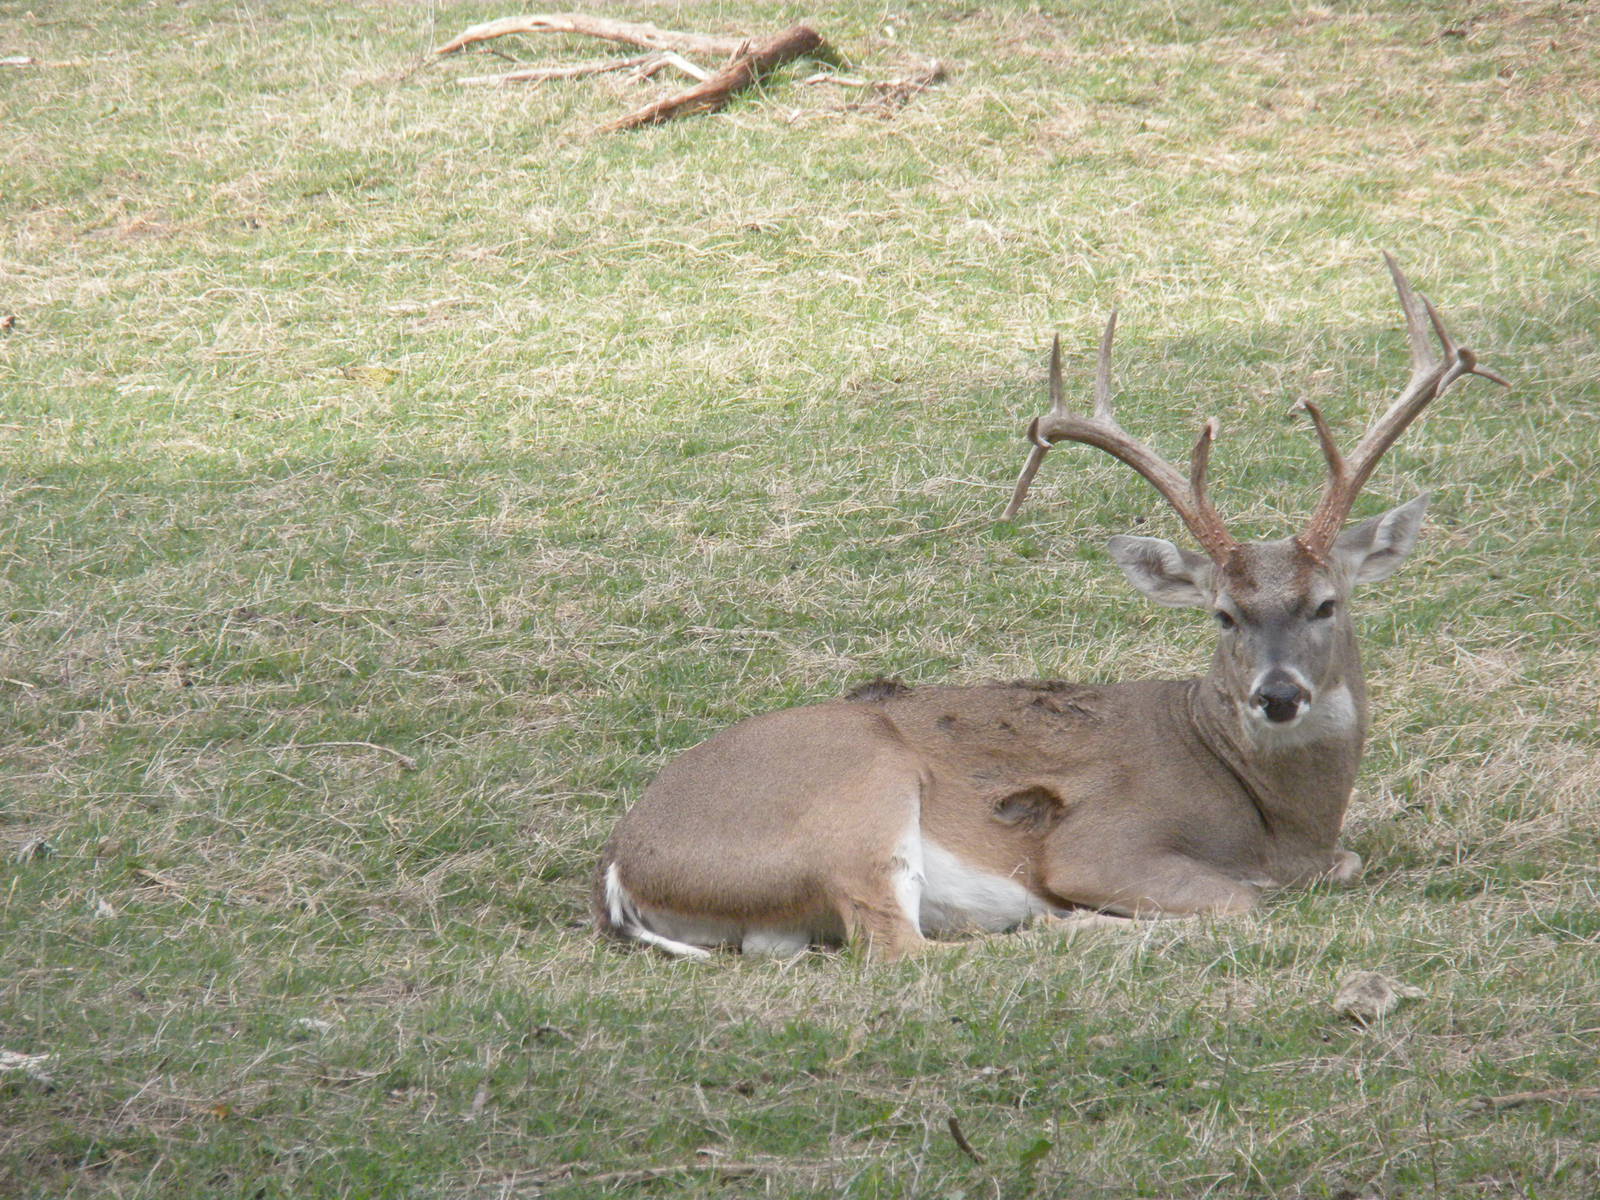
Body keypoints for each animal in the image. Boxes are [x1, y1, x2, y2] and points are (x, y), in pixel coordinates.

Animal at [593, 255, 1506, 960]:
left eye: (1324, 605)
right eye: (1224, 615)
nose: (1277, 695)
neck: (1282, 819)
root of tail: (622, 863)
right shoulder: (1101, 842)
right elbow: (1244, 898)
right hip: (855, 793)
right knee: (897, 946)